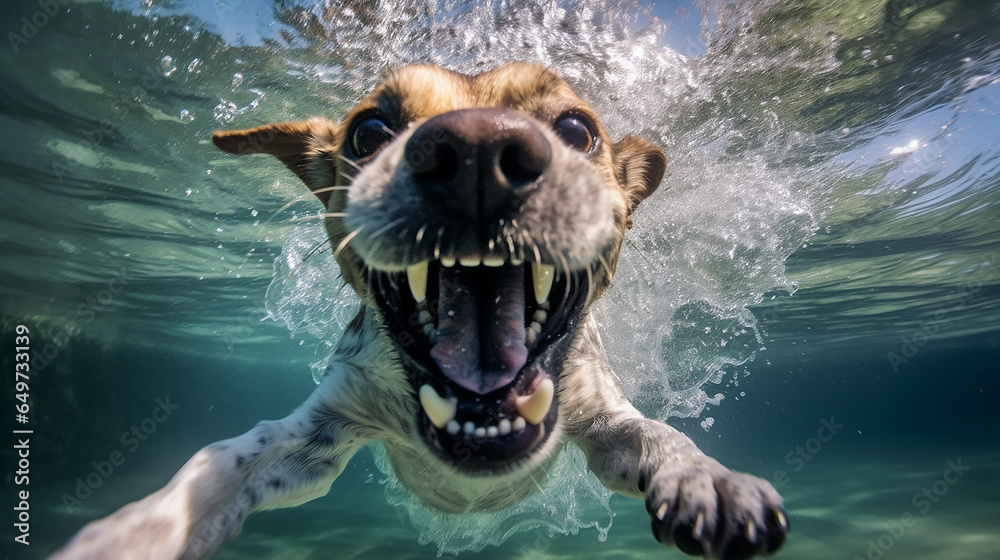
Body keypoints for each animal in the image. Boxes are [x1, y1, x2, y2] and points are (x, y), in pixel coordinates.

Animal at [54, 63, 788, 556]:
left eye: (577, 129)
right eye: (368, 131)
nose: (477, 153)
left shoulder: (603, 418)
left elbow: (658, 434)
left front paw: (708, 479)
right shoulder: (318, 435)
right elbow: (225, 461)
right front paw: (136, 531)